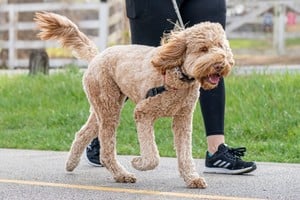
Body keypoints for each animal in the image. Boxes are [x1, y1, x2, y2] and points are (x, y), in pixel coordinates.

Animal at [34, 11, 234, 188]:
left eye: (221, 46)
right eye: (203, 49)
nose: (221, 64)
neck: (176, 74)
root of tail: (97, 56)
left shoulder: (183, 119)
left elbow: (185, 154)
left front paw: (192, 178)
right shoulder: (143, 113)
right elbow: (152, 156)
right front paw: (138, 162)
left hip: (104, 107)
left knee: (83, 133)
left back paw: (71, 163)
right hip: (109, 107)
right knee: (106, 150)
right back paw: (121, 174)